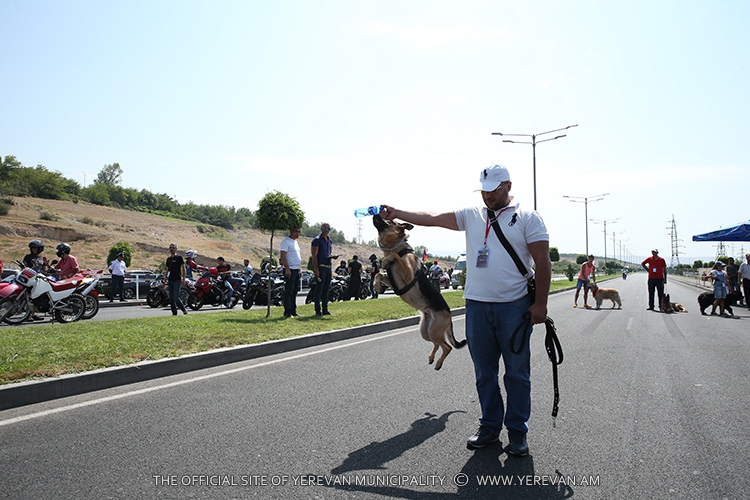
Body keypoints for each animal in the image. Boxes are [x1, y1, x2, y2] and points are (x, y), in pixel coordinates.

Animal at [372, 214, 466, 370]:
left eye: (390, 221)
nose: (375, 213)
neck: (395, 247)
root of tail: (449, 315)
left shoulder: (408, 275)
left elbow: (394, 257)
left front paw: (385, 261)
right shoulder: (392, 280)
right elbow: (378, 274)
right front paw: (377, 286)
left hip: (434, 331)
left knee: (447, 347)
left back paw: (438, 363)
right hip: (425, 331)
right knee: (437, 345)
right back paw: (431, 357)